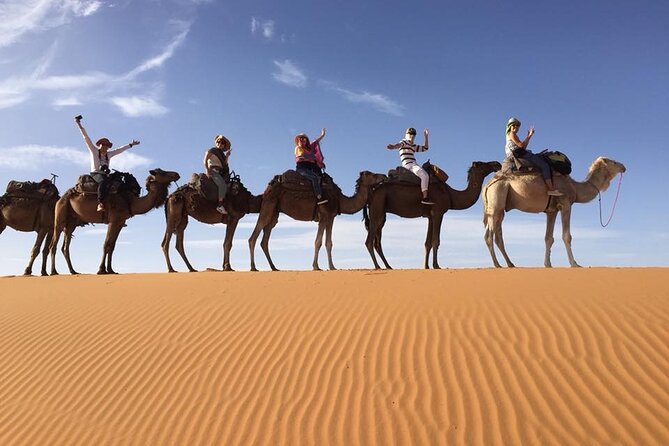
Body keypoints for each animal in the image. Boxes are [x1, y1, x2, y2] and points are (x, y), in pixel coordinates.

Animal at [49, 168, 180, 275]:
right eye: (162, 172)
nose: (176, 174)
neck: (130, 201)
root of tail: (63, 196)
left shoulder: (120, 222)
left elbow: (112, 246)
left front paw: (111, 270)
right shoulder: (113, 220)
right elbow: (106, 244)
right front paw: (101, 270)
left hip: (71, 223)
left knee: (65, 247)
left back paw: (73, 271)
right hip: (60, 216)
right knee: (53, 244)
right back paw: (54, 271)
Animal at [248, 170, 386, 271]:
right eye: (372, 174)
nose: (384, 176)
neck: (340, 199)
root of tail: (269, 185)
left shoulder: (331, 218)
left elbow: (329, 243)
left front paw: (332, 267)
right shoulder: (324, 217)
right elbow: (318, 242)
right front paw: (316, 266)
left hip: (274, 212)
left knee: (265, 238)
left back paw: (274, 267)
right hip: (268, 205)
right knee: (254, 236)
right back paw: (253, 267)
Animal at [363, 160, 502, 269]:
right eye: (481, 163)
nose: (497, 164)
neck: (451, 195)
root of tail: (372, 190)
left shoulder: (430, 216)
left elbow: (427, 243)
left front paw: (426, 266)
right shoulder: (439, 212)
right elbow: (436, 240)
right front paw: (436, 265)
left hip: (381, 214)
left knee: (377, 242)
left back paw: (388, 266)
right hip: (377, 210)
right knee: (369, 241)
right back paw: (378, 266)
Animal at [482, 156, 626, 268]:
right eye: (613, 162)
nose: (624, 167)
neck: (575, 188)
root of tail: (487, 185)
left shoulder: (552, 211)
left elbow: (548, 238)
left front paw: (548, 264)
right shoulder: (566, 204)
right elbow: (567, 236)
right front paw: (574, 264)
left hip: (498, 208)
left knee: (496, 234)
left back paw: (510, 264)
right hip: (497, 199)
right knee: (490, 235)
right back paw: (497, 264)